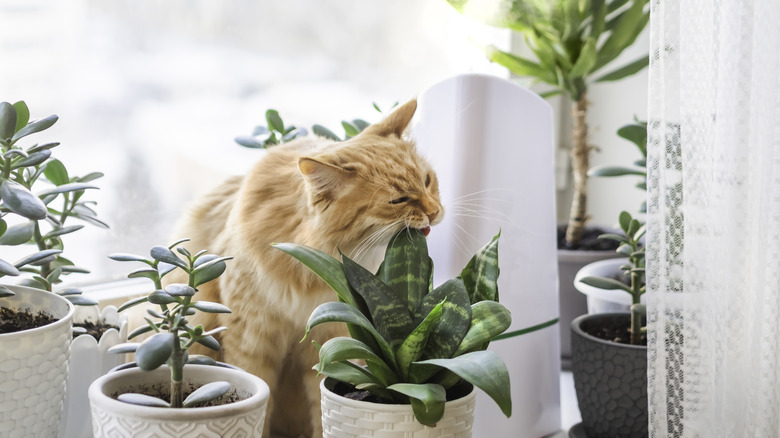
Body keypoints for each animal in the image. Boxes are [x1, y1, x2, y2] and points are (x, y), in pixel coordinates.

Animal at [168, 100, 442, 438]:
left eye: (427, 181)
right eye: (398, 200)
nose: (436, 212)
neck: (306, 263)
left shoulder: (328, 342)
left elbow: (321, 413)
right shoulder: (252, 341)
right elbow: (261, 404)